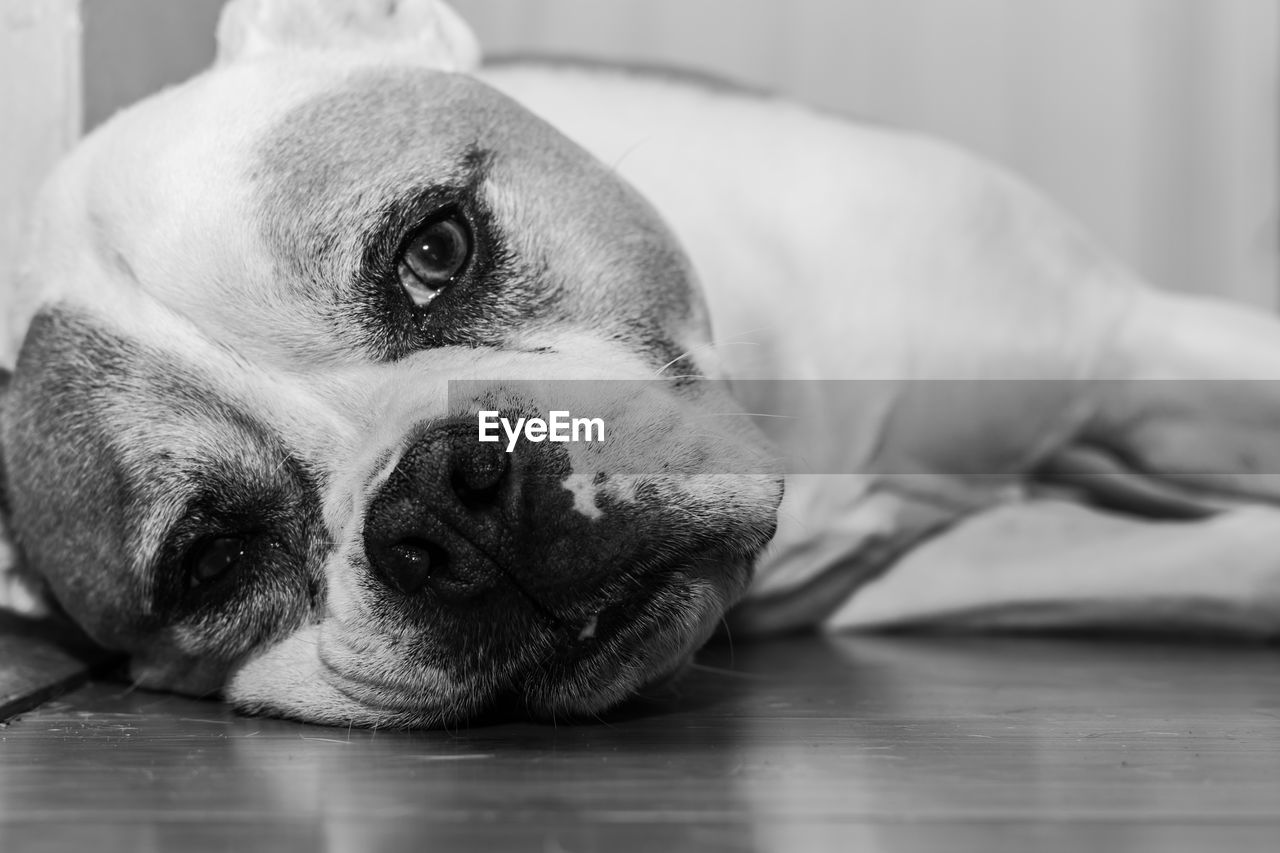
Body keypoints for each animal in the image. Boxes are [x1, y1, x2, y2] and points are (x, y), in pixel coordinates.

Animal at [2, 0, 1280, 727]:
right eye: (210, 561)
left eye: (435, 248)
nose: (449, 502)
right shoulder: (948, 560)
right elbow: (1209, 563)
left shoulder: (1129, 343)